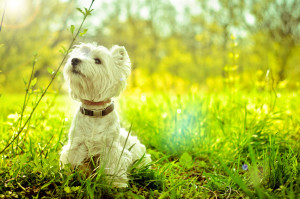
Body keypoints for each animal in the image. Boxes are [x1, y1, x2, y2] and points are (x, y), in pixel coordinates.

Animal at [60, 42, 151, 187]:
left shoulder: (111, 148)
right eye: (79, 54)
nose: (74, 60)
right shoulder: (76, 145)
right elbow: (72, 161)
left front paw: (117, 183)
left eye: (98, 60)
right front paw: (68, 178)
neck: (95, 111)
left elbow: (113, 167)